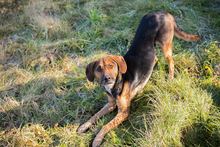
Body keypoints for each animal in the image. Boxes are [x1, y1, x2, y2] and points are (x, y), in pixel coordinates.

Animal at [77, 11, 203, 146]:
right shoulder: (110, 104)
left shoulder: (123, 112)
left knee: (171, 63)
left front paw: (97, 139)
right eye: (98, 69)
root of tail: (162, 12)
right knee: (155, 59)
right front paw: (84, 126)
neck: (116, 84)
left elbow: (106, 125)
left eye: (111, 66)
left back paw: (170, 78)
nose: (107, 78)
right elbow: (94, 115)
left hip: (165, 45)